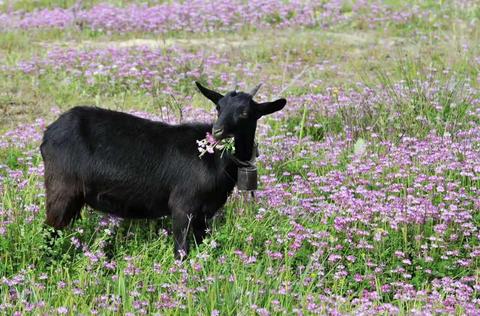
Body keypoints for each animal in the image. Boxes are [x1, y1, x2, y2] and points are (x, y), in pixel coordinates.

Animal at [40, 82, 284, 258]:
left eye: (245, 113)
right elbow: (181, 250)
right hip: (61, 188)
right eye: (218, 108)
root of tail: (48, 134)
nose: (217, 131)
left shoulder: (204, 212)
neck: (216, 159)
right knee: (49, 229)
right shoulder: (183, 205)